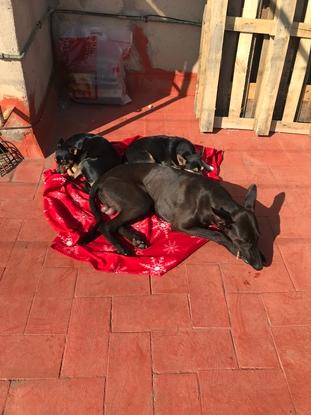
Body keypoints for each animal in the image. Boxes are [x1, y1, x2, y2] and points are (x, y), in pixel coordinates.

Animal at [81, 162, 268, 270]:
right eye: (242, 241)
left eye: (259, 238)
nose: (259, 266)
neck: (211, 198)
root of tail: (101, 179)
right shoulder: (181, 225)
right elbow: (217, 233)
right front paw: (235, 249)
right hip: (141, 201)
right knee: (107, 225)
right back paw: (122, 247)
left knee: (118, 224)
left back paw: (137, 239)